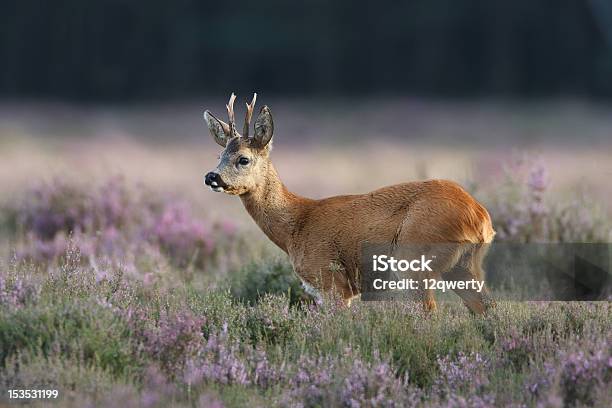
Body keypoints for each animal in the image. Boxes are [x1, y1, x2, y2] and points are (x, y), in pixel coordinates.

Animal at [204, 95, 498, 312]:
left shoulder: (332, 280)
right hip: (465, 266)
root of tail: (479, 218)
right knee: (487, 308)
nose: (211, 176)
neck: (295, 226)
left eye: (243, 159)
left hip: (414, 257)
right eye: (219, 155)